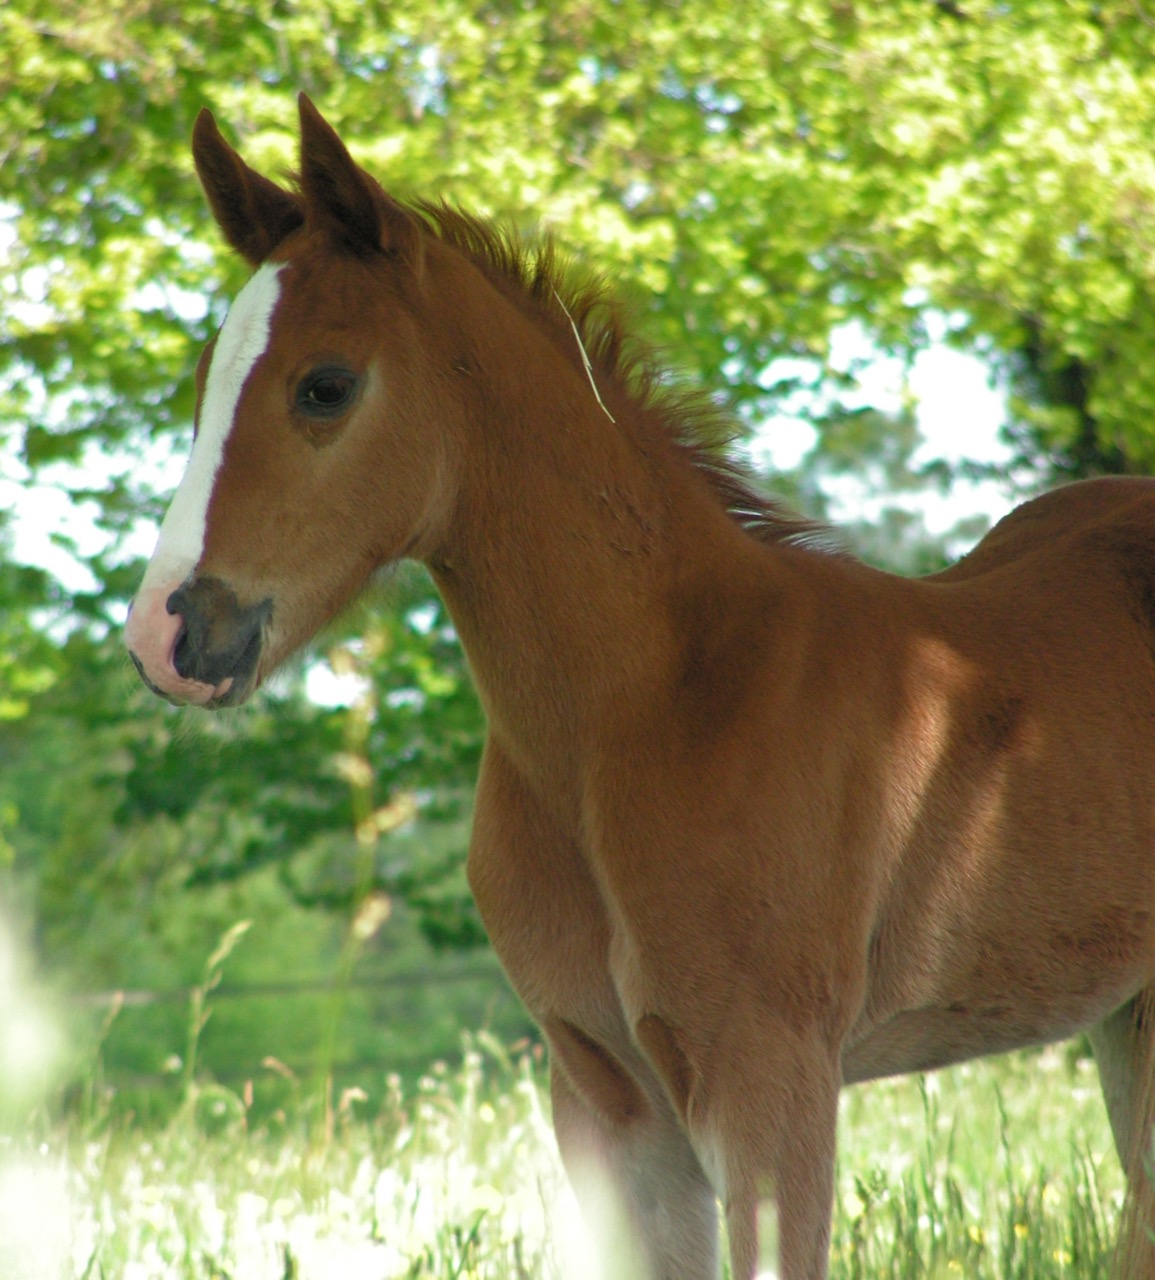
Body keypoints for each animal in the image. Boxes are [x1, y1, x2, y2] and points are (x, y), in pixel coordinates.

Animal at [124, 94, 1155, 1274]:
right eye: (204, 381)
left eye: (325, 384)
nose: (169, 635)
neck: (660, 704)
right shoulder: (603, 1094)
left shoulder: (772, 1082)